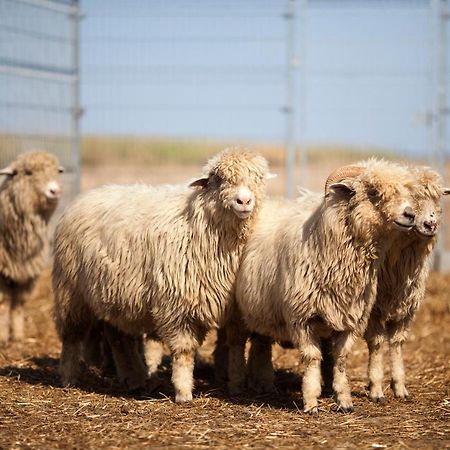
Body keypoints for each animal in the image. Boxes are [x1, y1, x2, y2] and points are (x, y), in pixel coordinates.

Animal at [0, 151, 63, 344]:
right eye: (28, 173)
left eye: (56, 171)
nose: (54, 191)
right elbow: (3, 303)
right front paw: (3, 337)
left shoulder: (27, 274)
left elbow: (19, 304)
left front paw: (18, 337)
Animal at [52, 149, 270, 402]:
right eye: (219, 179)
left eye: (258, 179)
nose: (243, 201)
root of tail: (86, 196)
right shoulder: (176, 306)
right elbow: (184, 352)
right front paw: (184, 392)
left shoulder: (235, 310)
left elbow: (236, 348)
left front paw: (236, 386)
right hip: (71, 291)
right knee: (71, 337)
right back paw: (69, 378)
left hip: (113, 293)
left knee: (118, 338)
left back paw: (134, 378)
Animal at [225, 159, 418, 414]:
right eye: (373, 192)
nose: (410, 215)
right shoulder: (301, 318)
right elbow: (312, 358)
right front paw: (310, 402)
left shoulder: (349, 319)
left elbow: (341, 359)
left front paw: (344, 400)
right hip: (238, 311)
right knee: (237, 344)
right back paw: (237, 385)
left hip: (263, 308)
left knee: (262, 344)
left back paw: (264, 384)